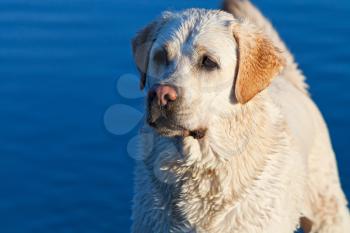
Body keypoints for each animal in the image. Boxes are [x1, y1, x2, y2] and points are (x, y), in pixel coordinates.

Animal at [130, 0, 348, 232]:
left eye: (208, 62)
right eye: (160, 56)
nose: (160, 94)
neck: (202, 165)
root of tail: (288, 81)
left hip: (327, 209)